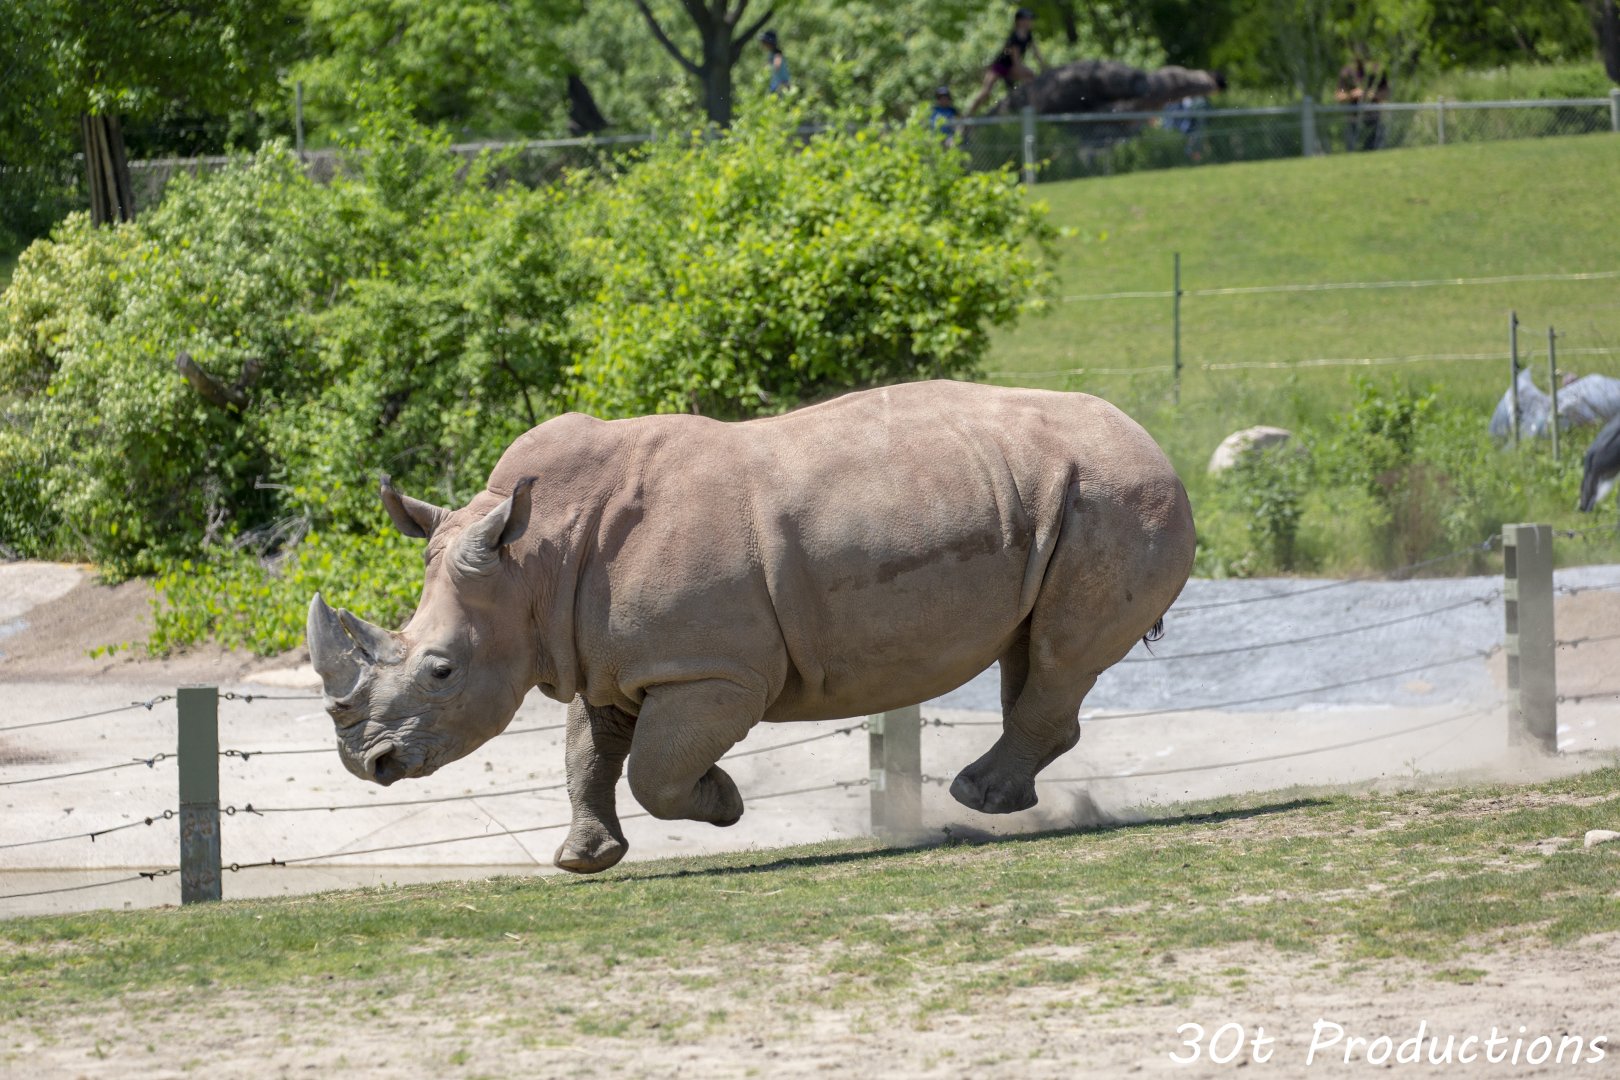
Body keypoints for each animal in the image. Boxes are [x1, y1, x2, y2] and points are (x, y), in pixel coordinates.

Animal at [307, 380, 1195, 873]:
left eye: (441, 671)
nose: (366, 763)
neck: (535, 560)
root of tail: (1153, 441)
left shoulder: (710, 672)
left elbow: (653, 770)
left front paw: (725, 805)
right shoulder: (602, 659)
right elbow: (586, 754)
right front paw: (582, 860)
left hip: (1116, 495)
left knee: (1058, 652)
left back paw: (978, 800)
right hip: (1057, 498)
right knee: (1030, 650)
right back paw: (999, 800)